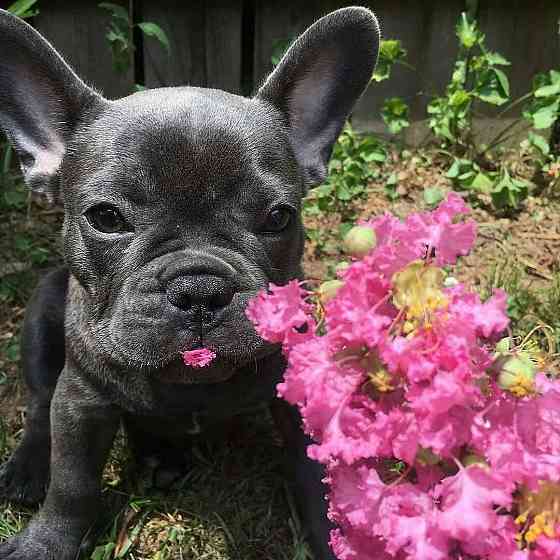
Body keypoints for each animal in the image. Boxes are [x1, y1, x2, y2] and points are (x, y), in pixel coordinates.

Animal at [0, 6, 380, 556]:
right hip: (41, 313)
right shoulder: (79, 401)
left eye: (278, 218)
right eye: (106, 218)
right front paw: (45, 544)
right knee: (36, 401)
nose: (199, 289)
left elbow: (319, 484)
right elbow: (72, 485)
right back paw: (32, 467)